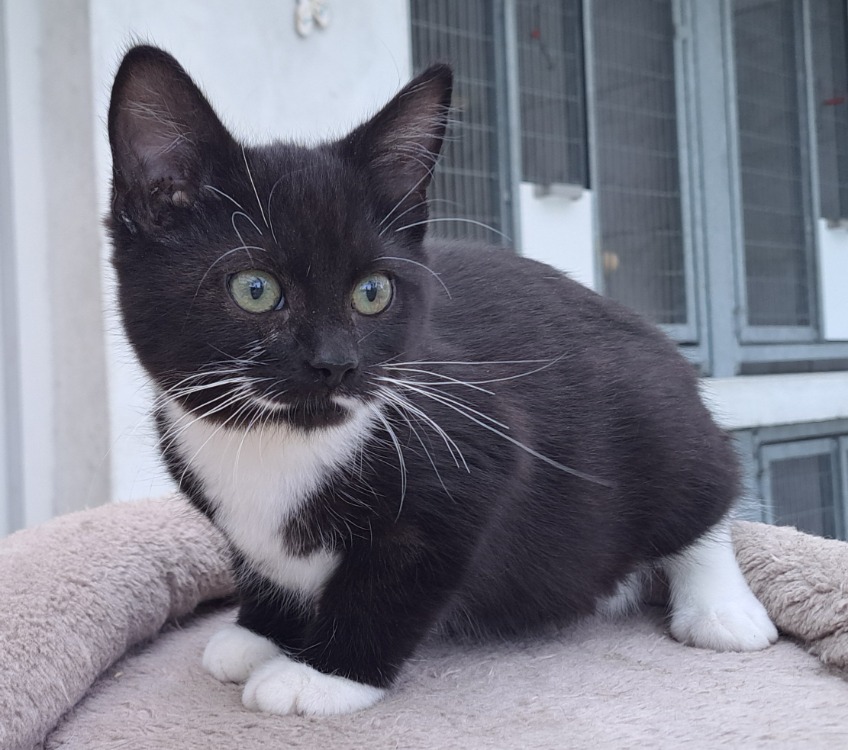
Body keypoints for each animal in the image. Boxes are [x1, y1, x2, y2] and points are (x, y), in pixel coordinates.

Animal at [107, 45, 777, 717]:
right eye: (254, 289)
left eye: (372, 292)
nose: (335, 364)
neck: (280, 442)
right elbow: (260, 562)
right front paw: (261, 632)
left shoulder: (472, 454)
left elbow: (393, 580)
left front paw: (320, 673)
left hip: (660, 412)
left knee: (710, 494)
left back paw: (720, 609)